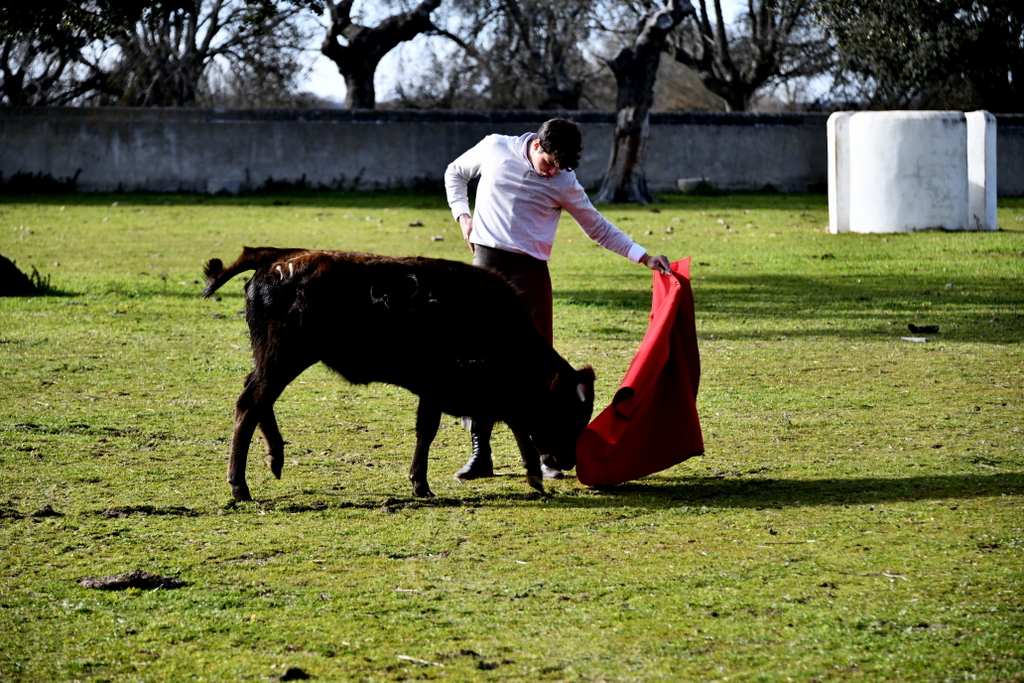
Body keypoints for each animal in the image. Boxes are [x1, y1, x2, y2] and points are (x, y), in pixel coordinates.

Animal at [202, 246, 598, 501]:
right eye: (565, 412)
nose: (568, 460)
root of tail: (275, 259)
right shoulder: (445, 386)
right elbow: (435, 430)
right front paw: (422, 484)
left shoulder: (457, 391)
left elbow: (505, 422)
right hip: (283, 359)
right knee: (250, 403)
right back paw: (240, 485)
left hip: (276, 361)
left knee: (256, 398)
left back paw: (275, 459)